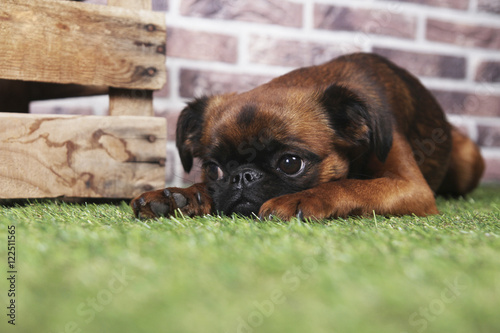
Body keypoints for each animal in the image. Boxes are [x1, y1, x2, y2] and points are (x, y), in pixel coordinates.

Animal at [130, 52, 484, 220]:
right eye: (212, 169)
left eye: (290, 163)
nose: (243, 176)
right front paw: (180, 195)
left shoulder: (410, 187)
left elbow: (351, 185)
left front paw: (302, 199)